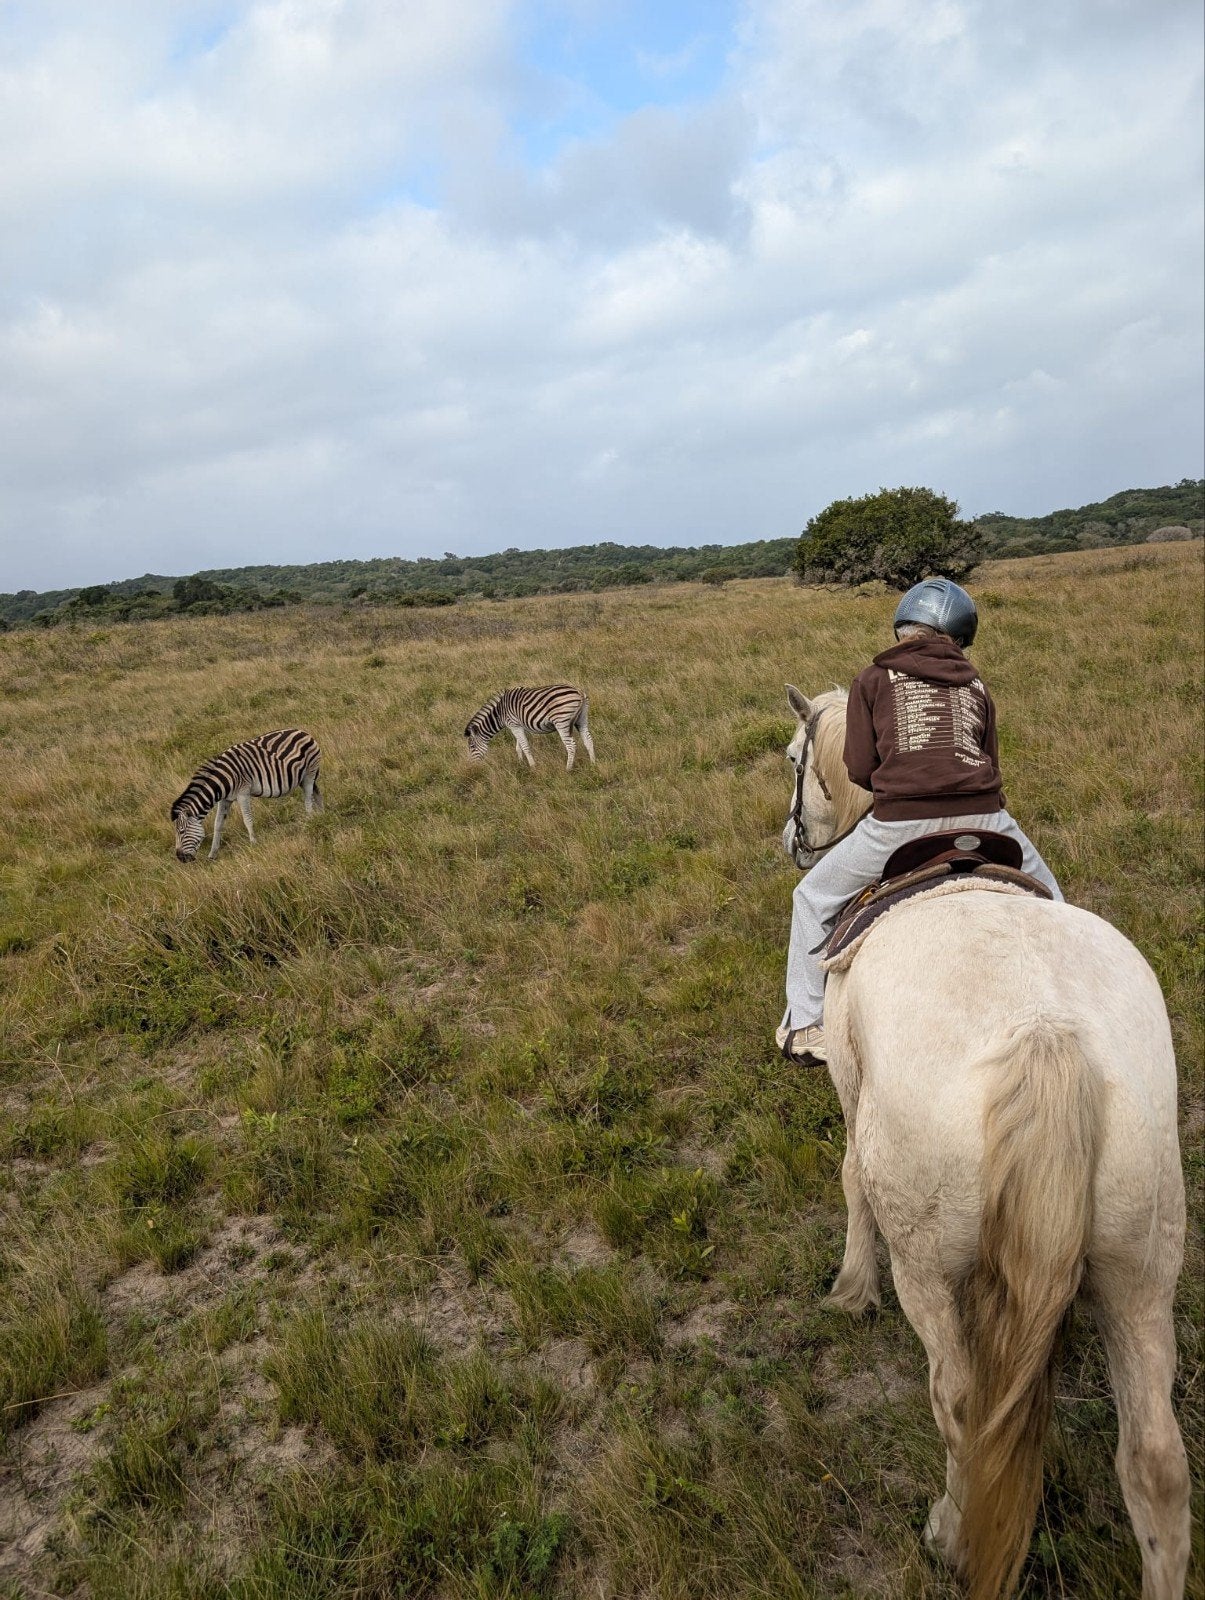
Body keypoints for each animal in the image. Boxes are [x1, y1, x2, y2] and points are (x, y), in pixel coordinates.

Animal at [783, 684, 1189, 1600]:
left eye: (792, 759)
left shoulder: (852, 1090)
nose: (791, 840)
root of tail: (1046, 1037)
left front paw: (848, 1288)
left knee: (962, 1405)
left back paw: (949, 1529)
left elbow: (850, 1181)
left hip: (932, 1269)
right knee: (1154, 1464)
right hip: (1140, 1272)